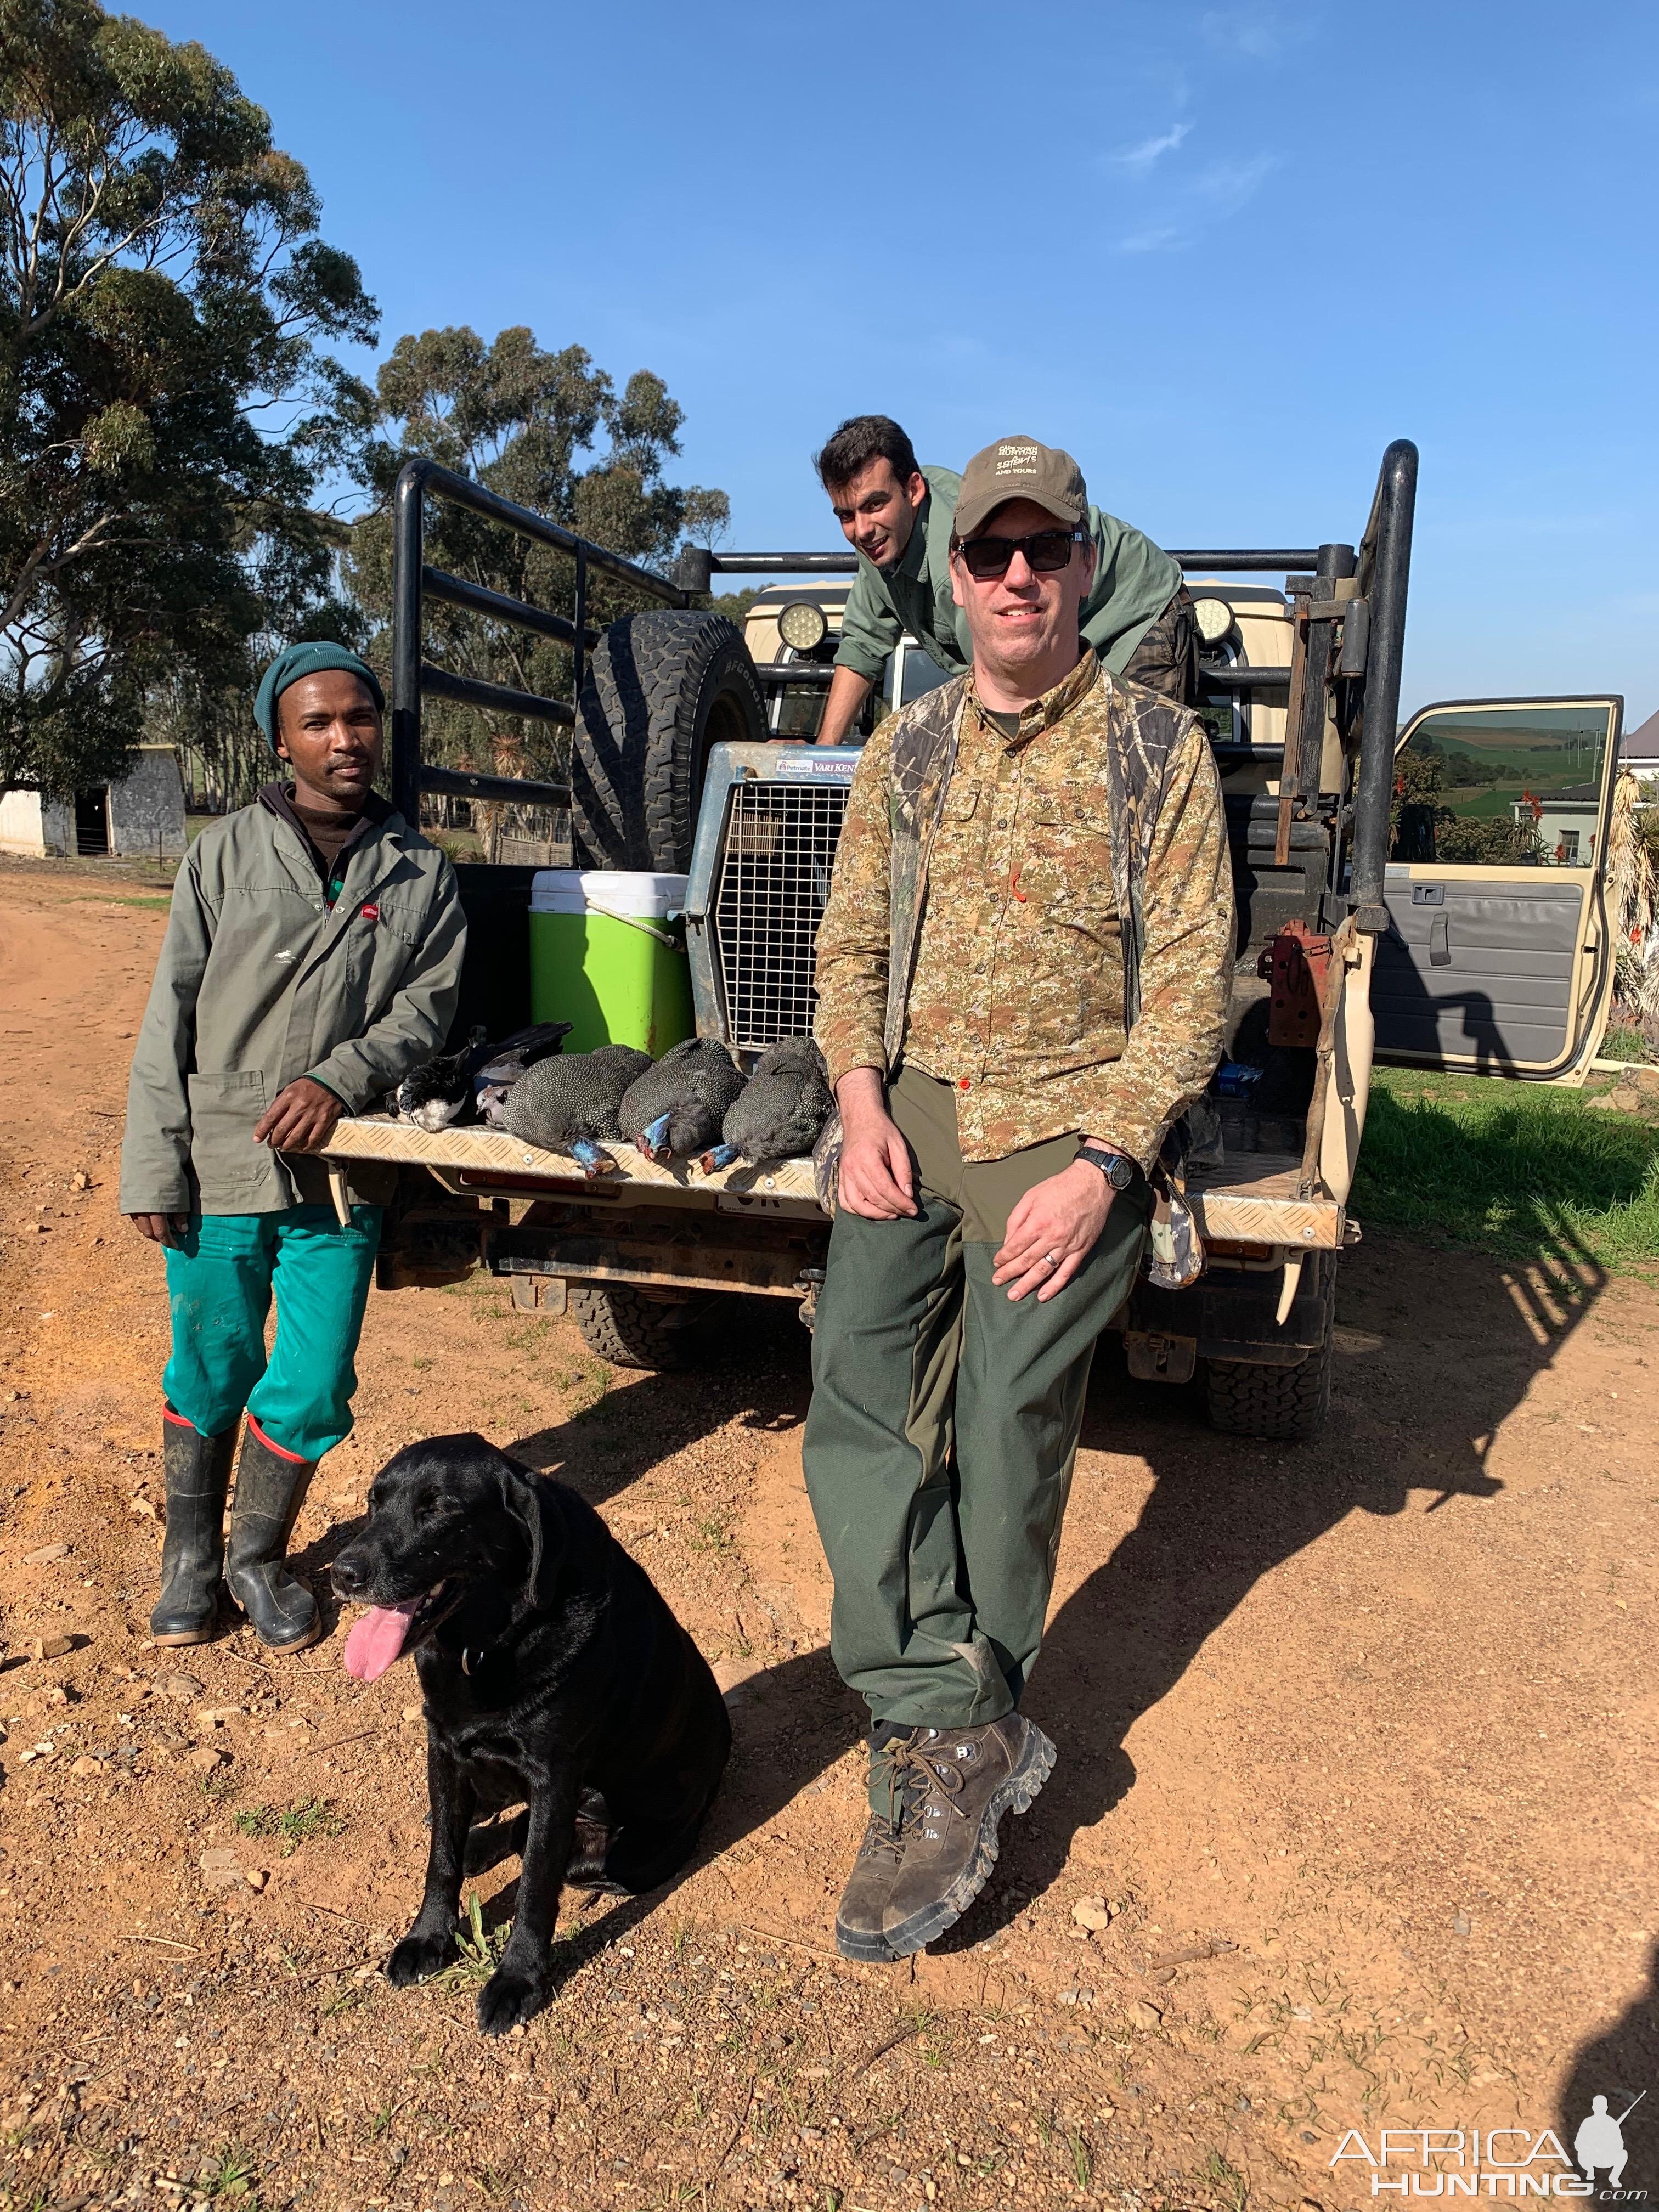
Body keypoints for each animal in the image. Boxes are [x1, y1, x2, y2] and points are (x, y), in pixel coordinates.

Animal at [334, 1433, 730, 2035]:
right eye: (374, 1502)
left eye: (441, 1509)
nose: (343, 1573)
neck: (487, 1642)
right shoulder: (442, 1746)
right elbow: (441, 1859)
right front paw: (428, 1938)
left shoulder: (555, 1776)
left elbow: (536, 1887)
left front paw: (517, 1981)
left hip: (628, 1854)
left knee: (544, 1849)